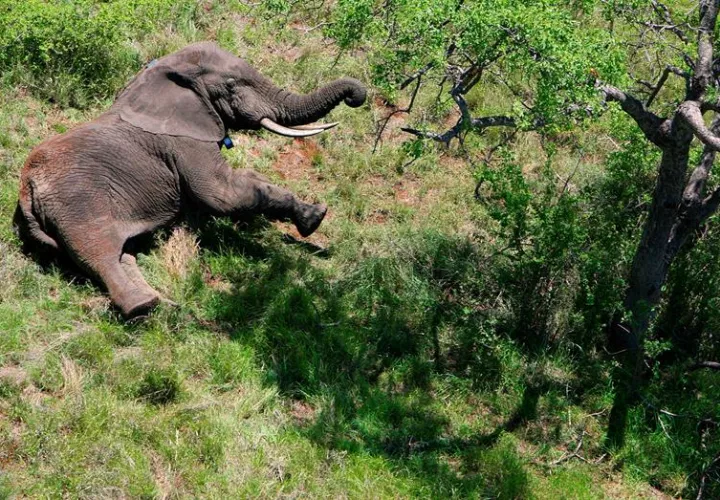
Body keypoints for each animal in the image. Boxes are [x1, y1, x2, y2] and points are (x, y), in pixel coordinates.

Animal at [14, 42, 368, 316]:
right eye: (232, 85)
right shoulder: (184, 141)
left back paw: (165, 304)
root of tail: (26, 187)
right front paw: (315, 218)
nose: (355, 97)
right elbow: (222, 195)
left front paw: (312, 214)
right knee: (99, 252)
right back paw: (144, 308)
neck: (164, 73)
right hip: (78, 201)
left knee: (121, 254)